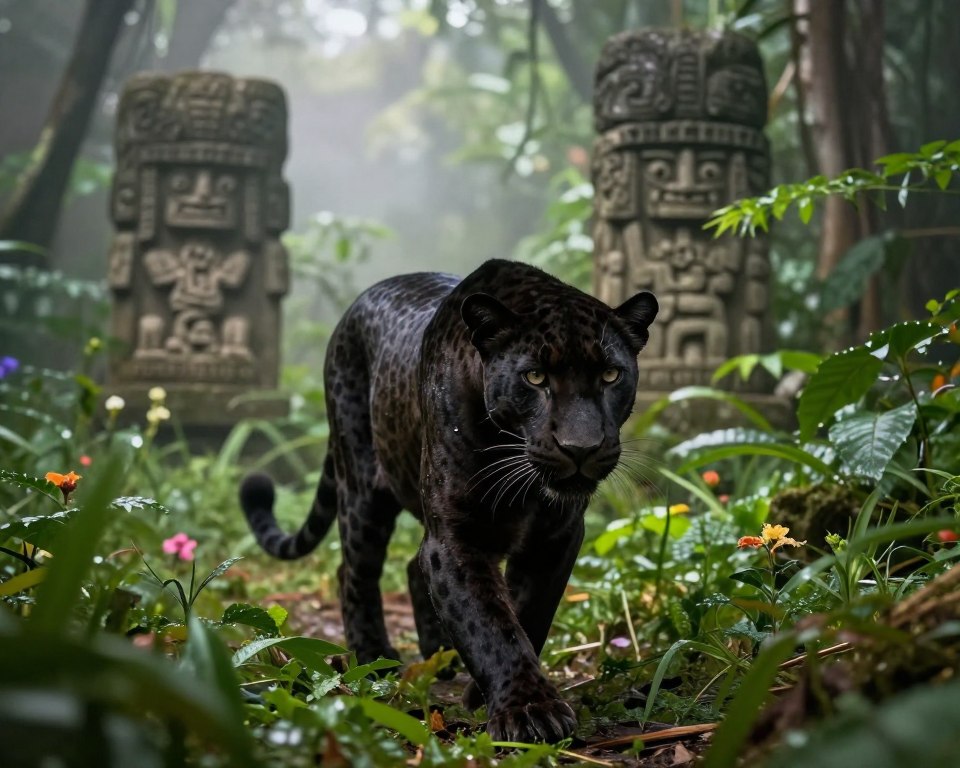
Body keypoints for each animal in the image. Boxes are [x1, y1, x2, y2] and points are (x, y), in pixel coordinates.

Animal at [240, 258, 658, 742]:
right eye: (535, 377)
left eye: (611, 375)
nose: (581, 448)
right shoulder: (455, 538)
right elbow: (489, 621)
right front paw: (528, 710)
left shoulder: (556, 536)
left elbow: (528, 613)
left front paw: (488, 692)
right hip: (361, 489)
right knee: (354, 571)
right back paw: (374, 660)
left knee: (406, 567)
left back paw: (441, 655)